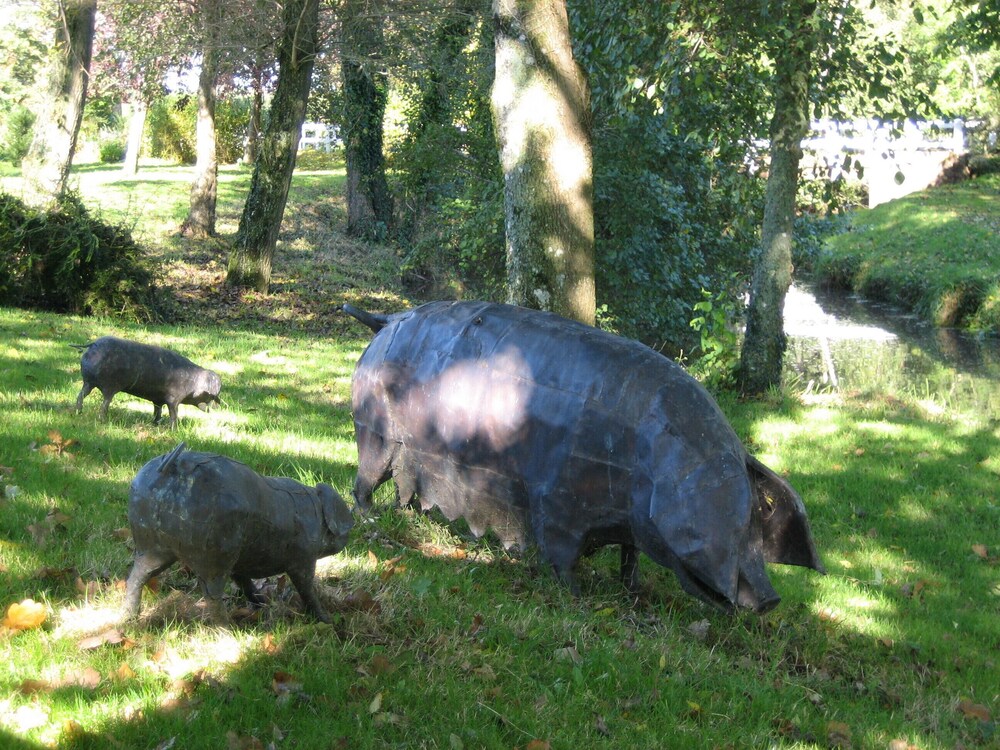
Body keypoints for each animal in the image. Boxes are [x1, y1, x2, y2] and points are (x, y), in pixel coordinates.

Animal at [72, 336, 222, 429]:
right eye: (212, 395)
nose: (217, 406)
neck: (194, 384)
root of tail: (93, 344)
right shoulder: (173, 399)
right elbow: (173, 414)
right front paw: (174, 430)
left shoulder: (158, 399)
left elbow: (157, 411)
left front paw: (155, 424)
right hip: (109, 387)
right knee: (104, 403)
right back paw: (102, 420)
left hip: (88, 382)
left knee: (81, 395)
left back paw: (78, 412)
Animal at [122, 442, 354, 624]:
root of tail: (172, 465)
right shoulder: (303, 559)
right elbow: (306, 588)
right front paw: (326, 621)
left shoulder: (240, 562)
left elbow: (245, 583)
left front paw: (262, 604)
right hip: (214, 554)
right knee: (212, 595)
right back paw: (228, 630)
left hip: (151, 545)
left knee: (138, 576)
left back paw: (128, 618)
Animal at [343, 301, 825, 614]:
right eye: (728, 522)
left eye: (755, 521)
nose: (770, 600)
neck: (647, 464)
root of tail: (386, 321)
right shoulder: (555, 498)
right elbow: (561, 556)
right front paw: (579, 601)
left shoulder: (631, 524)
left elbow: (631, 556)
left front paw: (633, 593)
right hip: (373, 430)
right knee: (362, 481)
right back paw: (371, 521)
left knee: (401, 487)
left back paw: (408, 516)